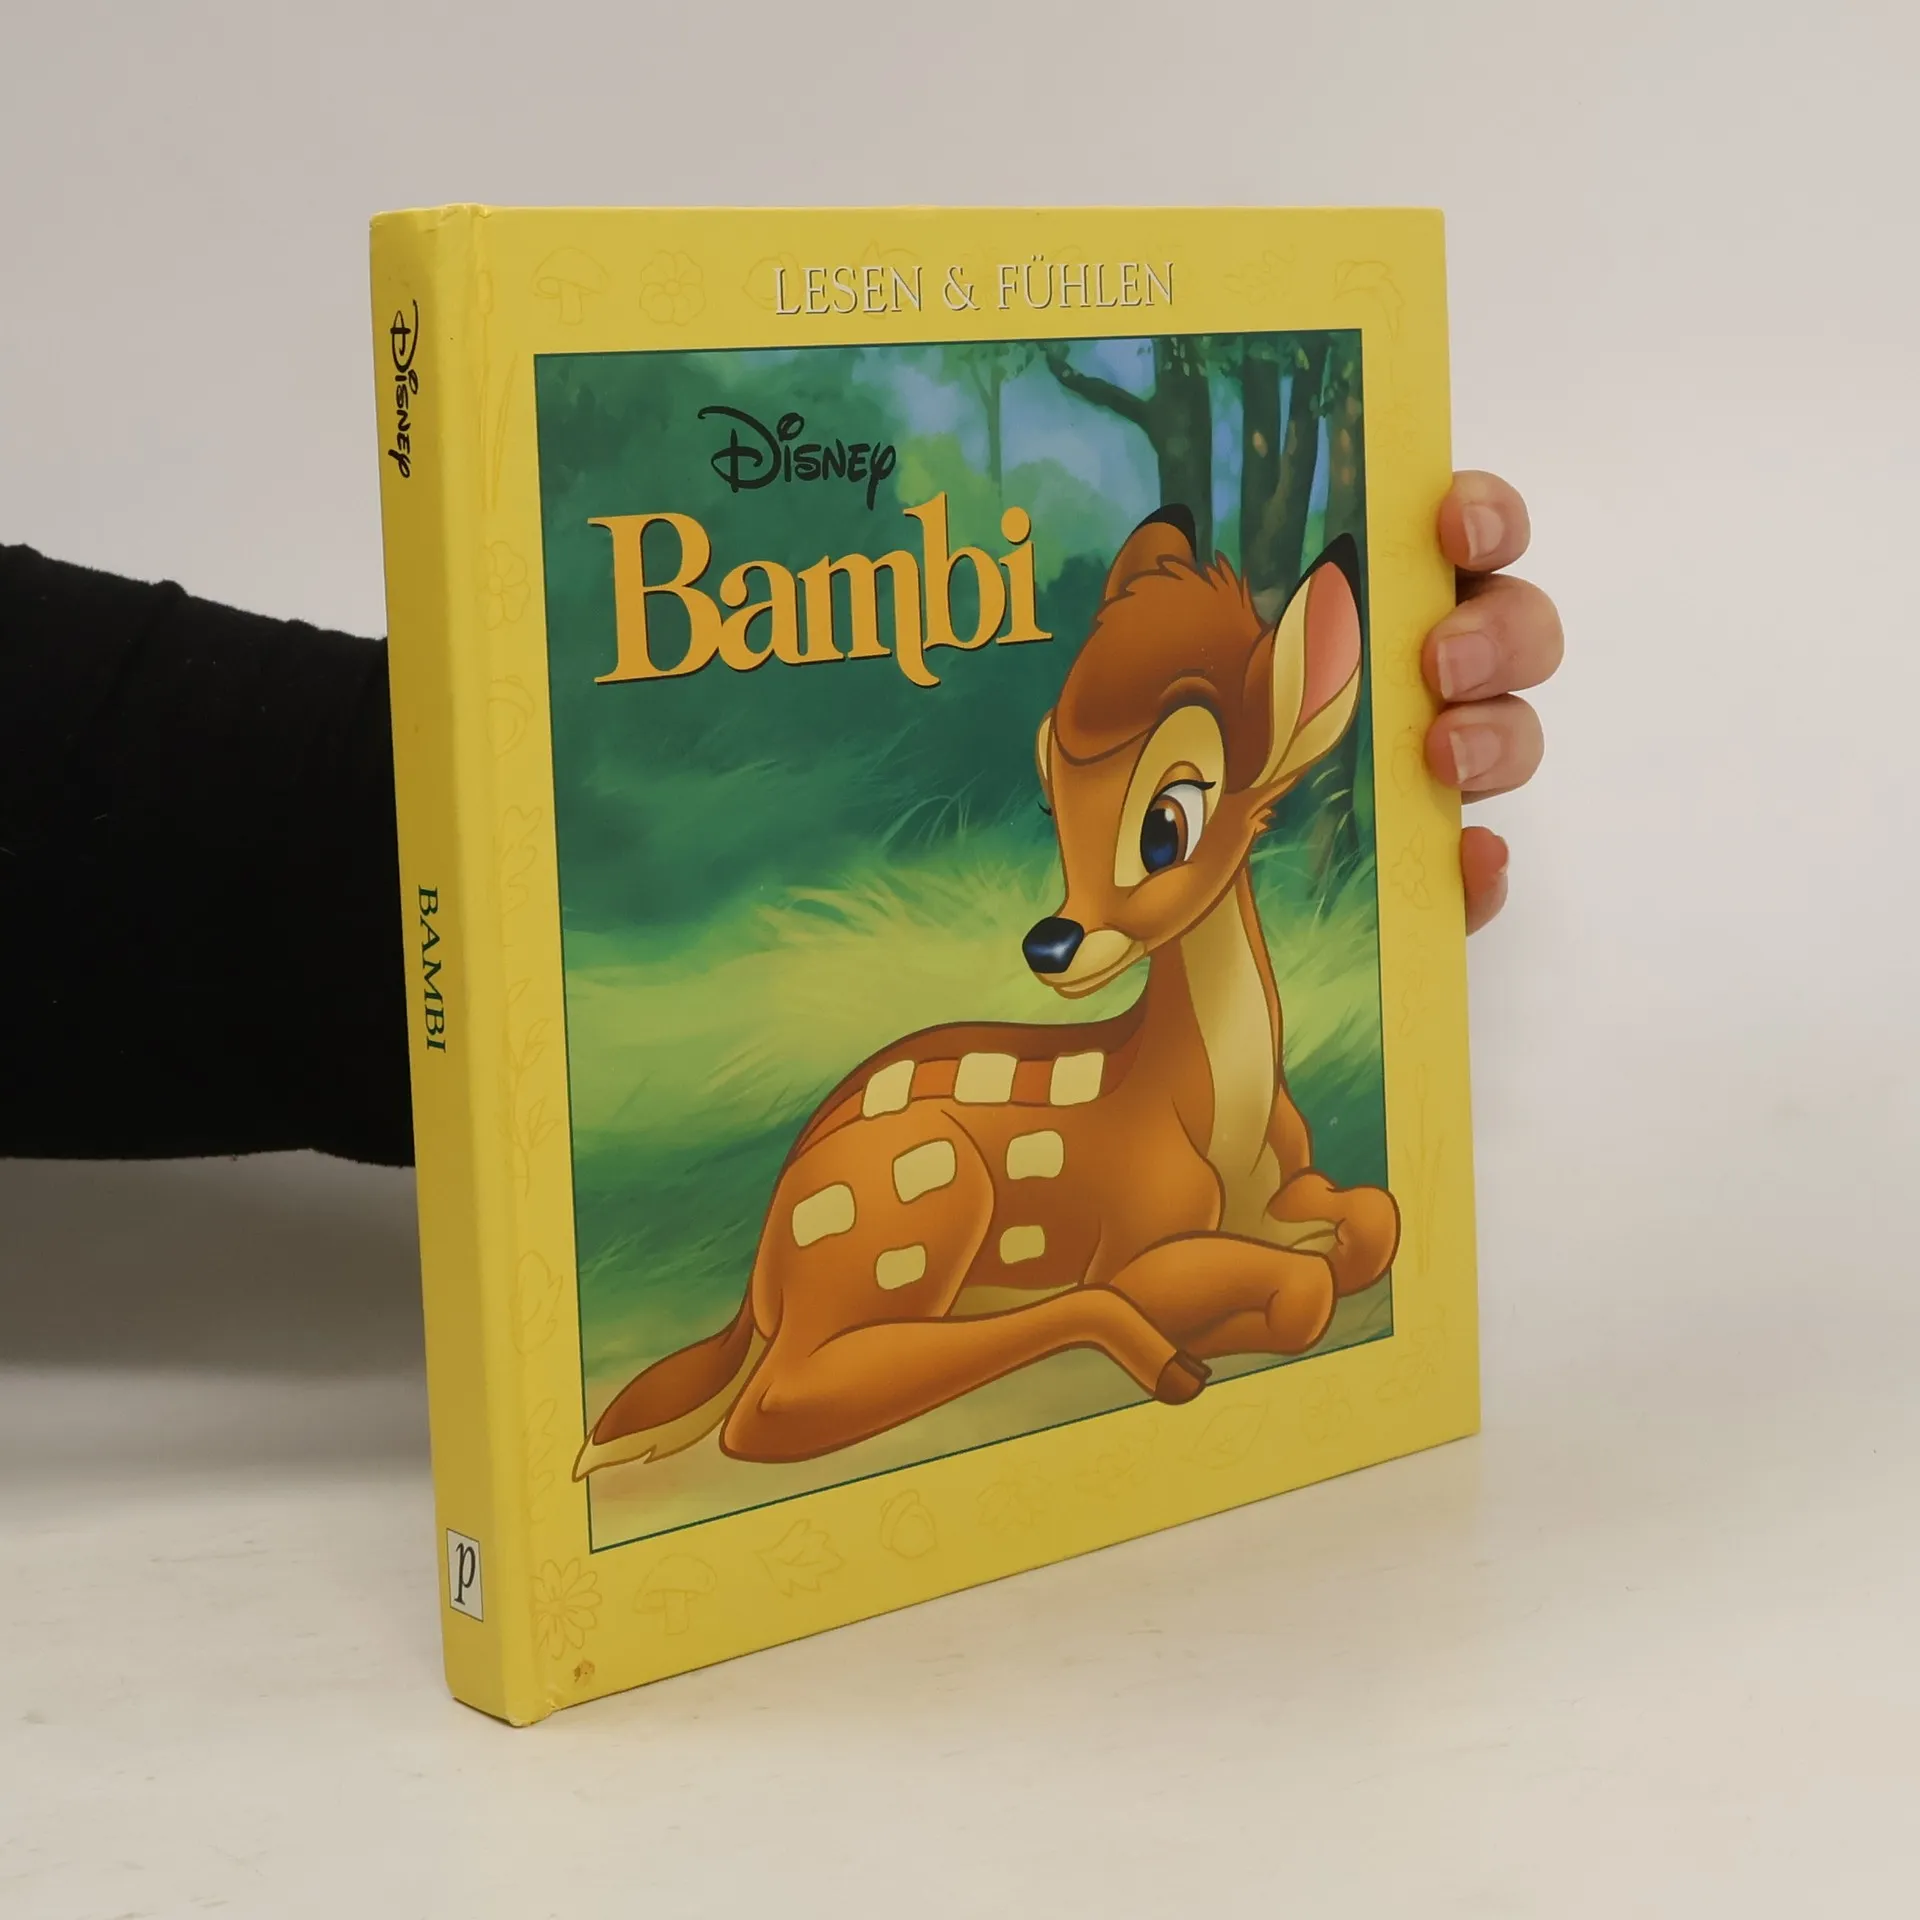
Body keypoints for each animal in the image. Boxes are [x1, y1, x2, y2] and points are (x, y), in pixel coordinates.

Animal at [574, 506, 1400, 1475]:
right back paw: (1161, 1360)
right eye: (1052, 802)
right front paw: (1225, 1327)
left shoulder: (1290, 1181)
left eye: (1167, 823)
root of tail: (763, 1268)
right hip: (919, 1197)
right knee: (771, 1411)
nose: (1051, 943)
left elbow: (1375, 1216)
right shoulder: (1135, 1239)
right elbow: (1301, 1286)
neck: (1210, 1113)